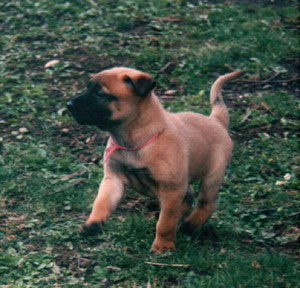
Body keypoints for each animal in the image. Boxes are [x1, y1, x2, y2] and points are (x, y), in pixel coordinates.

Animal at [67, 66, 240, 253]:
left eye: (99, 93)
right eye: (88, 89)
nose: (69, 105)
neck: (133, 141)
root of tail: (215, 120)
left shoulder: (171, 189)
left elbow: (165, 223)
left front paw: (163, 246)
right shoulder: (113, 179)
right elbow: (101, 202)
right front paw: (92, 224)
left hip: (211, 177)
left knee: (206, 204)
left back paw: (189, 226)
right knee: (188, 195)